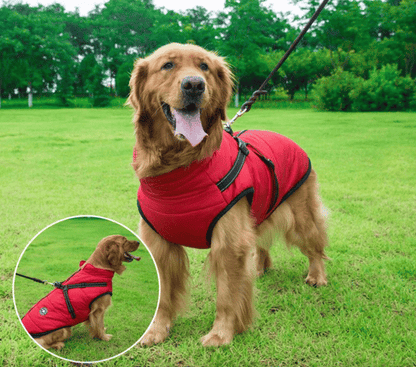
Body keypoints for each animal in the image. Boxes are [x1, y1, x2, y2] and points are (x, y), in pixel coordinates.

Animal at [128, 43, 330, 348]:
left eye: (204, 67)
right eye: (168, 65)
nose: (194, 85)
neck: (181, 169)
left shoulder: (228, 240)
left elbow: (226, 295)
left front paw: (221, 334)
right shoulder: (159, 241)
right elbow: (163, 294)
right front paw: (156, 330)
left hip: (301, 216)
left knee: (315, 245)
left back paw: (317, 276)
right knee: (259, 244)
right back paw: (258, 268)